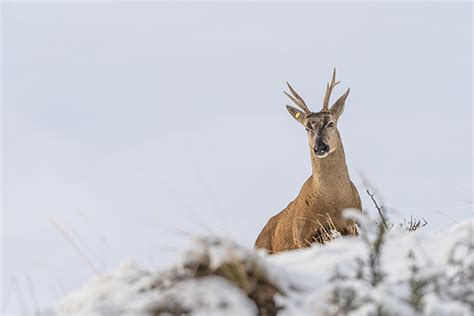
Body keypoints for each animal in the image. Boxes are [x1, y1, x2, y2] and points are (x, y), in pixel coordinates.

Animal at [258, 69, 362, 254]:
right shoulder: (301, 236)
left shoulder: (354, 226)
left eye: (330, 123)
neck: (333, 201)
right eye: (307, 128)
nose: (319, 147)